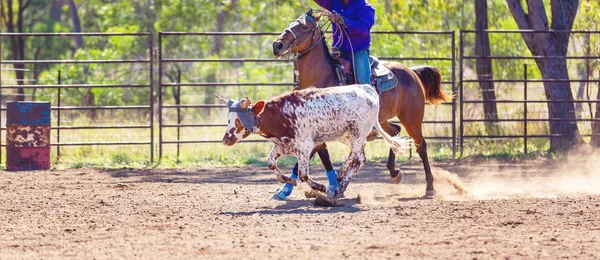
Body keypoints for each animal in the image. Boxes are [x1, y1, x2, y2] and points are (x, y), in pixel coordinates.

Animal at [272, 10, 450, 197]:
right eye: (291, 23)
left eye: (304, 27)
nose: (277, 45)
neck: (324, 78)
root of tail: (412, 72)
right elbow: (318, 157)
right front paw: (287, 189)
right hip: (382, 120)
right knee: (394, 132)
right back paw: (393, 172)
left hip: (412, 119)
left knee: (421, 146)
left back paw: (429, 186)